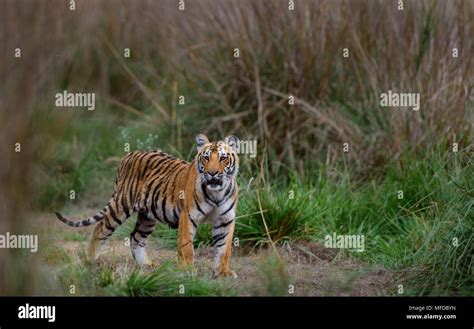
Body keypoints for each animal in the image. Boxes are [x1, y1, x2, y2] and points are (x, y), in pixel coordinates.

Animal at [55, 133, 239, 276]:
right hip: (121, 206)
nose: (212, 173)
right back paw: (91, 260)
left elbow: (224, 249)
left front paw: (223, 272)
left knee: (135, 237)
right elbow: (186, 246)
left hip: (148, 216)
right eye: (206, 157)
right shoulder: (188, 216)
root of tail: (130, 154)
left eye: (223, 158)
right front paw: (187, 270)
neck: (217, 193)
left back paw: (145, 264)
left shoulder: (225, 219)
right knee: (100, 229)